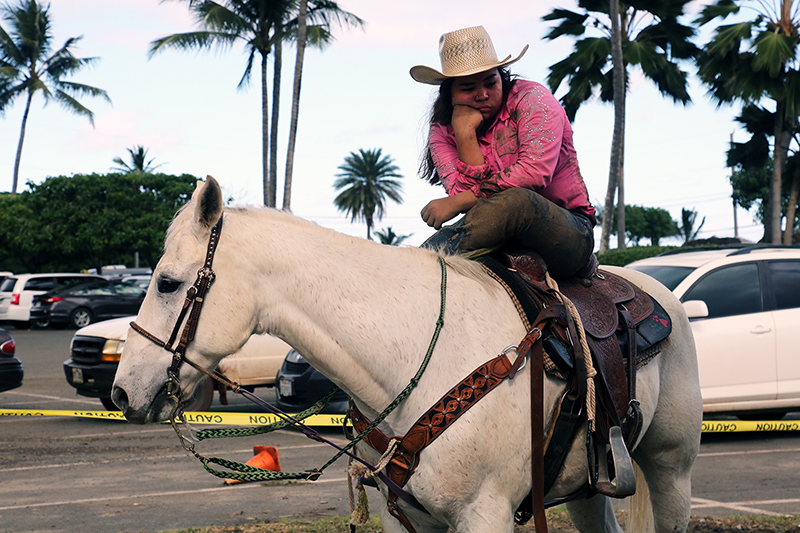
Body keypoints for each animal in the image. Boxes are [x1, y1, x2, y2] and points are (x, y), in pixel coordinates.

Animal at [111, 178, 700, 532]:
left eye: (167, 283)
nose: (120, 391)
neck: (415, 354)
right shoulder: (404, 516)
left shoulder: (486, 514)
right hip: (587, 484)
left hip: (670, 470)